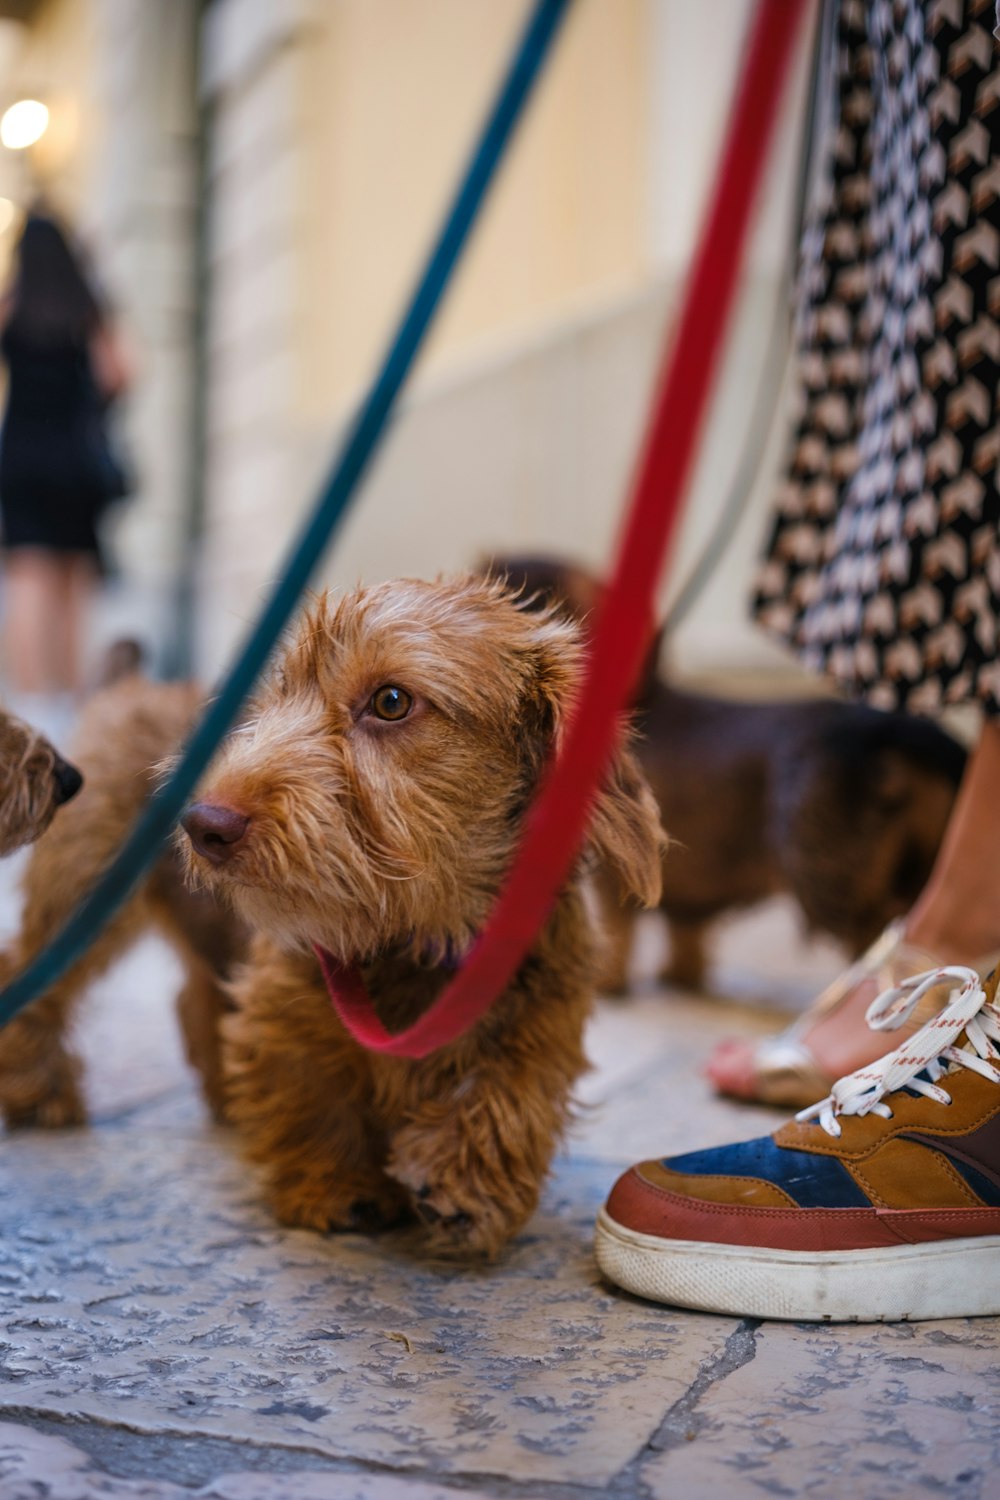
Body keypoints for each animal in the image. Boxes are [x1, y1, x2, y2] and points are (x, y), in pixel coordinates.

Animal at [0, 579, 665, 1260]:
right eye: (280, 691)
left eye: (392, 701)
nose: (201, 821)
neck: (422, 931)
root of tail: (136, 686)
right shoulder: (286, 1004)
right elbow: (313, 1088)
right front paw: (336, 1185)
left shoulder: (543, 1016)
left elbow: (510, 1091)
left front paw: (466, 1183)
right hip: (85, 891)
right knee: (29, 973)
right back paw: (38, 1089)